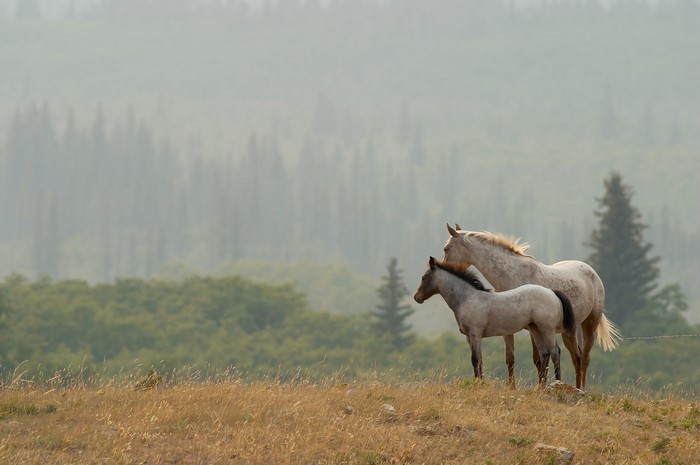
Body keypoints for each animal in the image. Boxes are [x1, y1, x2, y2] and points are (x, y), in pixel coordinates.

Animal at [413, 256, 576, 387]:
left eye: (424, 277)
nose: (416, 297)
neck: (468, 299)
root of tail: (551, 292)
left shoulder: (475, 334)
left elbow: (475, 359)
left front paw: (478, 383)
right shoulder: (469, 337)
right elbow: (479, 360)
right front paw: (479, 381)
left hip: (547, 329)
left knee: (555, 352)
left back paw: (557, 384)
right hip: (535, 328)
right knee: (544, 354)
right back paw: (540, 388)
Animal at [443, 224, 621, 390]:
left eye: (446, 248)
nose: (443, 267)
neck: (513, 275)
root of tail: (592, 272)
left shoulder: (533, 328)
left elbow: (540, 358)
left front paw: (541, 386)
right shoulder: (509, 328)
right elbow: (511, 358)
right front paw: (513, 387)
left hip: (589, 325)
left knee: (583, 358)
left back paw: (581, 389)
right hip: (569, 331)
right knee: (576, 357)